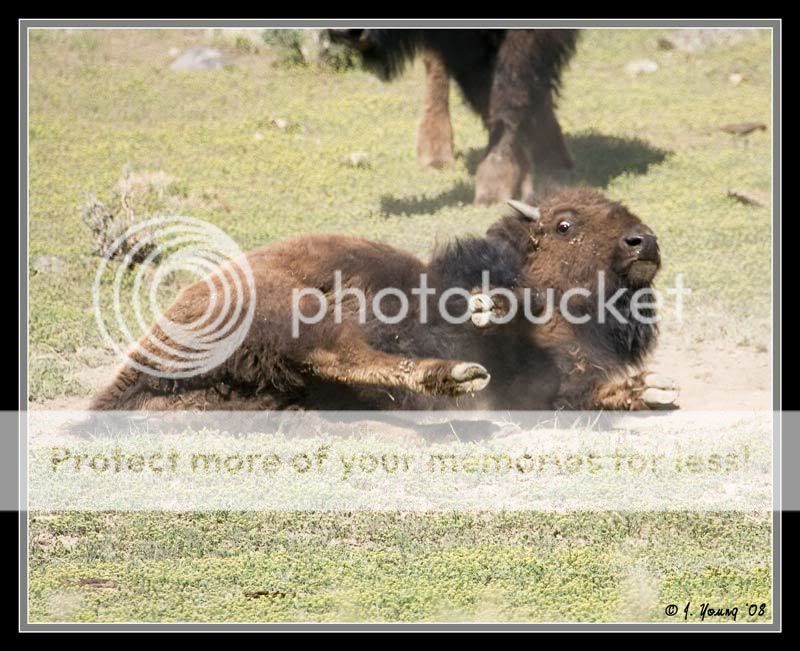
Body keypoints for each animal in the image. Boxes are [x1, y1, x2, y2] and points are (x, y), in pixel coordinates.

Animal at [94, 187, 680, 412]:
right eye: (564, 224)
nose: (643, 241)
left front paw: (653, 390)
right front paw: (487, 306)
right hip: (292, 312)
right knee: (341, 354)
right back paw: (455, 376)